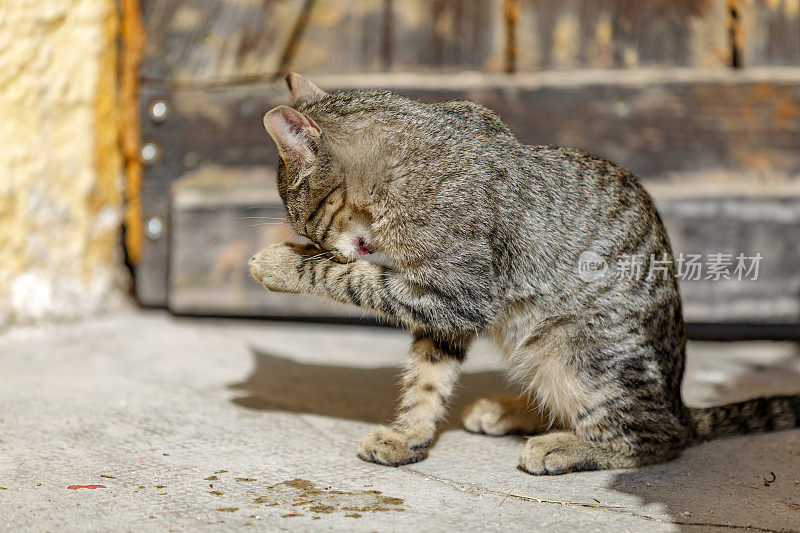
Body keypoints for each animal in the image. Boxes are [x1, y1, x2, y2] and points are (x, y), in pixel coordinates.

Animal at [250, 71, 800, 474]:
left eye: (310, 221)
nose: (322, 245)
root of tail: (681, 400)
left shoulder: (455, 292)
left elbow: (356, 281)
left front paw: (284, 263)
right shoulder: (444, 315)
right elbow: (426, 379)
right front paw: (408, 437)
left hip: (582, 352)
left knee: (659, 437)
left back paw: (564, 445)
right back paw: (511, 413)